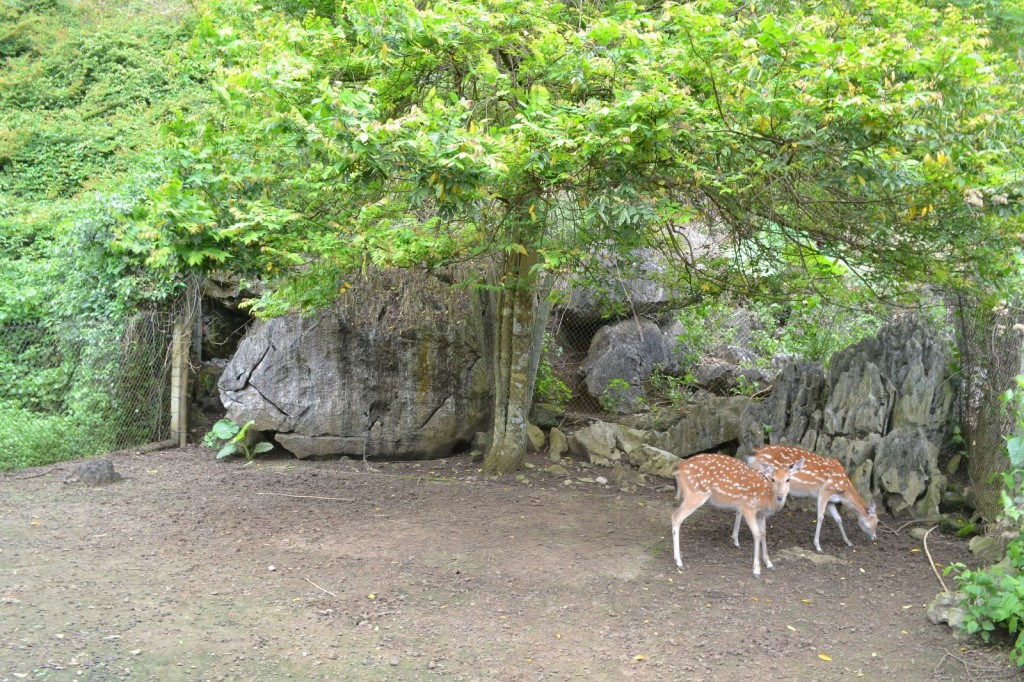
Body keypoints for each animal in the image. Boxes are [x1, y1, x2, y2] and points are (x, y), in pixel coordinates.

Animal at [671, 450, 806, 573]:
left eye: (788, 479)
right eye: (772, 479)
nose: (780, 497)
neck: (767, 500)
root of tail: (678, 469)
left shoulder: (761, 514)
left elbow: (763, 533)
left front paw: (769, 564)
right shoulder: (748, 507)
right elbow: (756, 534)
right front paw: (756, 569)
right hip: (696, 492)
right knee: (676, 516)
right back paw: (679, 561)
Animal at [729, 440, 880, 552]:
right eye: (877, 521)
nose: (875, 537)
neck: (843, 490)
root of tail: (752, 455)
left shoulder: (832, 500)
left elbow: (838, 519)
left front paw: (848, 542)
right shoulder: (825, 491)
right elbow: (820, 516)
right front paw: (818, 546)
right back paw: (736, 540)